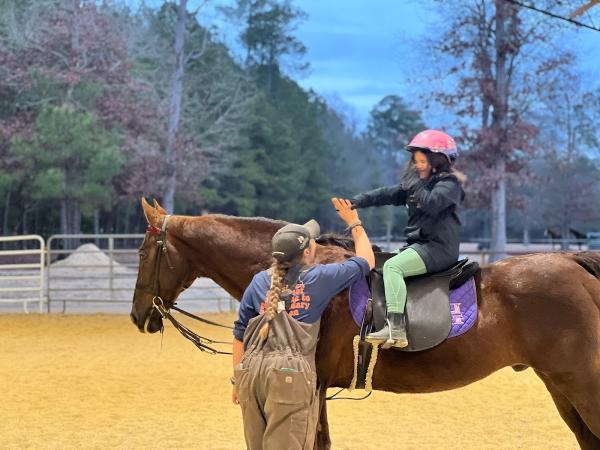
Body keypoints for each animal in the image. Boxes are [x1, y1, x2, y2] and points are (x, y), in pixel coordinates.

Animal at [130, 200, 600, 450]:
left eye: (142, 252)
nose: (138, 315)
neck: (299, 270)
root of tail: (574, 264)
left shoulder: (312, 384)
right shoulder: (316, 389)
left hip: (581, 384)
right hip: (560, 387)